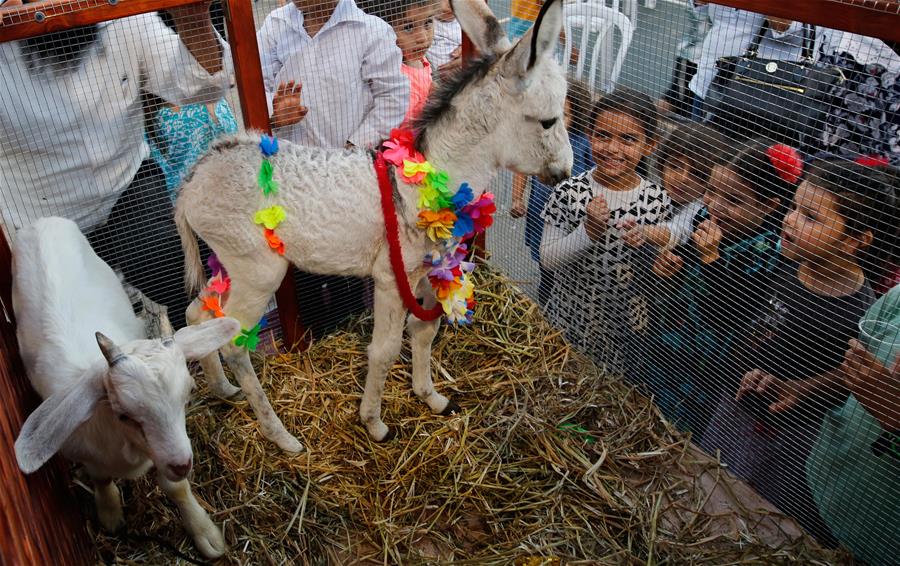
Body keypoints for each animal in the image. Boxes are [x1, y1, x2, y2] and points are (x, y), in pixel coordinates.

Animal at [14, 216, 239, 560]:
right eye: (124, 415)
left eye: (187, 397)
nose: (182, 463)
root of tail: (42, 221)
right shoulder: (88, 454)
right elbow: (101, 479)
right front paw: (109, 514)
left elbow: (176, 488)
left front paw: (205, 533)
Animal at [174, 0, 568, 452]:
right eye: (548, 121)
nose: (565, 171)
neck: (423, 181)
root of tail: (193, 182)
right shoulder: (391, 278)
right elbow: (384, 349)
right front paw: (375, 422)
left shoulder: (428, 271)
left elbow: (425, 330)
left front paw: (430, 397)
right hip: (259, 272)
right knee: (236, 345)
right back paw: (283, 437)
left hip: (229, 264)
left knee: (198, 314)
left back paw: (223, 389)